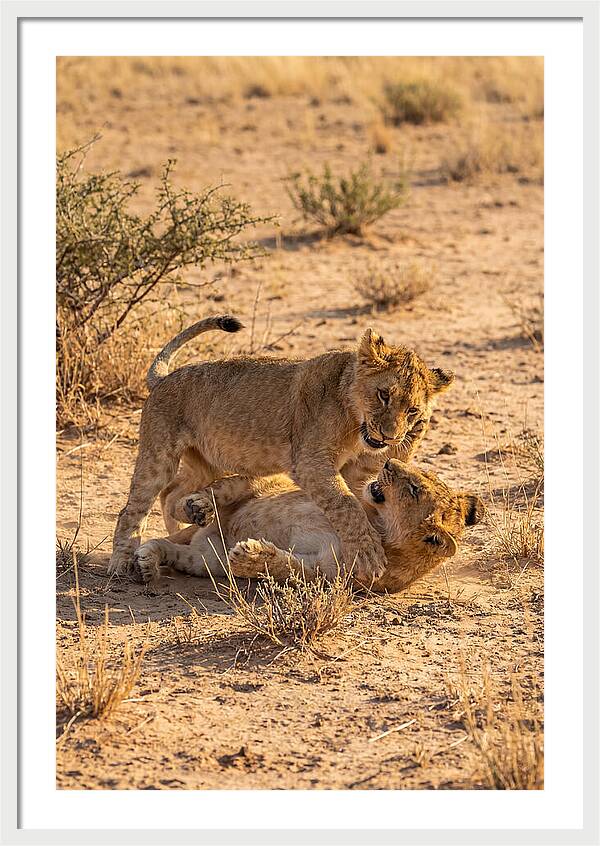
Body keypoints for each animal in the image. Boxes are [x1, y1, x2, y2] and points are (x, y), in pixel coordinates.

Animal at [109, 315, 454, 582]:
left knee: (172, 493)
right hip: (159, 454)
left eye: (412, 410)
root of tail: (164, 378)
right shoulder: (311, 462)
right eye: (384, 395)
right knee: (133, 508)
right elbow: (346, 505)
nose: (389, 436)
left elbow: (360, 494)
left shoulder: (357, 471)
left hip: (207, 462)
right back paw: (123, 563)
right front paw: (369, 554)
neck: (354, 421)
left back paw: (191, 519)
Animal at [133, 459, 484, 593]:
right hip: (259, 485)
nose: (387, 462)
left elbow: (286, 567)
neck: (377, 523)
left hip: (206, 560)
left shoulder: (325, 573)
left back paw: (148, 562)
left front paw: (250, 555)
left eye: (414, 489)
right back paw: (196, 507)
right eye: (419, 475)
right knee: (223, 488)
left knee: (173, 549)